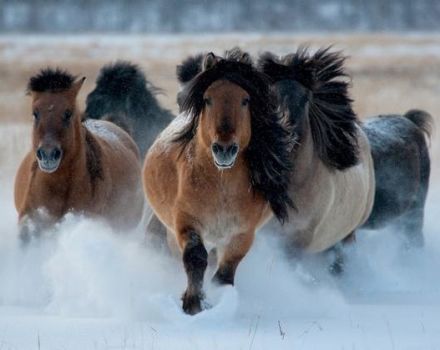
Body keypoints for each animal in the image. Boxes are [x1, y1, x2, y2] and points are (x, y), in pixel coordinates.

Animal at [144, 48, 292, 314]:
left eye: (245, 100)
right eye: (207, 99)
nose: (224, 149)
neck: (222, 188)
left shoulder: (242, 233)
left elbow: (225, 273)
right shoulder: (186, 223)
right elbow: (195, 258)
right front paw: (193, 302)